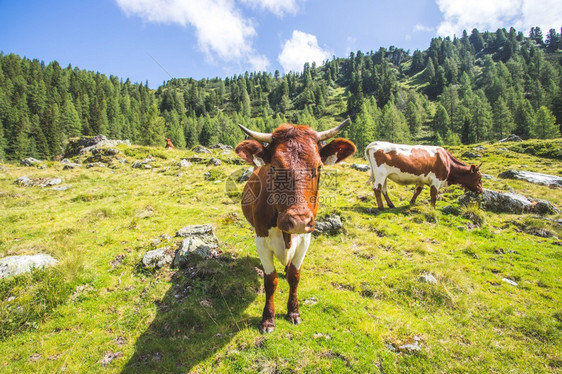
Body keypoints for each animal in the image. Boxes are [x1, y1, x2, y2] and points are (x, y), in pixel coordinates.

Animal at [235, 120, 354, 334]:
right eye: (274, 167)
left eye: (319, 167)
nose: (298, 220)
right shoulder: (261, 240)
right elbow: (270, 280)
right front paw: (268, 319)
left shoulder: (305, 238)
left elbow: (294, 276)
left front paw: (293, 312)